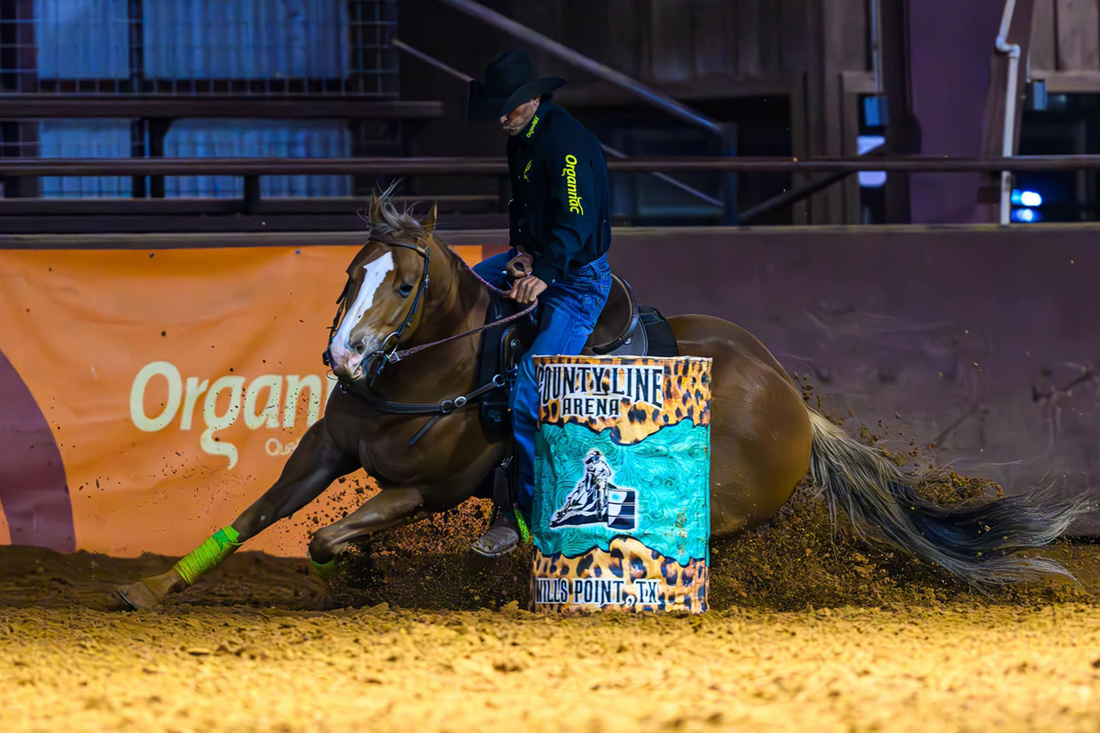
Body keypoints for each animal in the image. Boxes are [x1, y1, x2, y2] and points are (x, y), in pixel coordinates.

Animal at [116, 189, 1089, 609]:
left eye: (404, 283)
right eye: (352, 272)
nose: (343, 356)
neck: (436, 370)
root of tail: (793, 400)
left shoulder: (427, 490)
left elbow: (327, 531)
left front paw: (346, 564)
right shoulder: (326, 449)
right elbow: (259, 512)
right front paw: (157, 583)